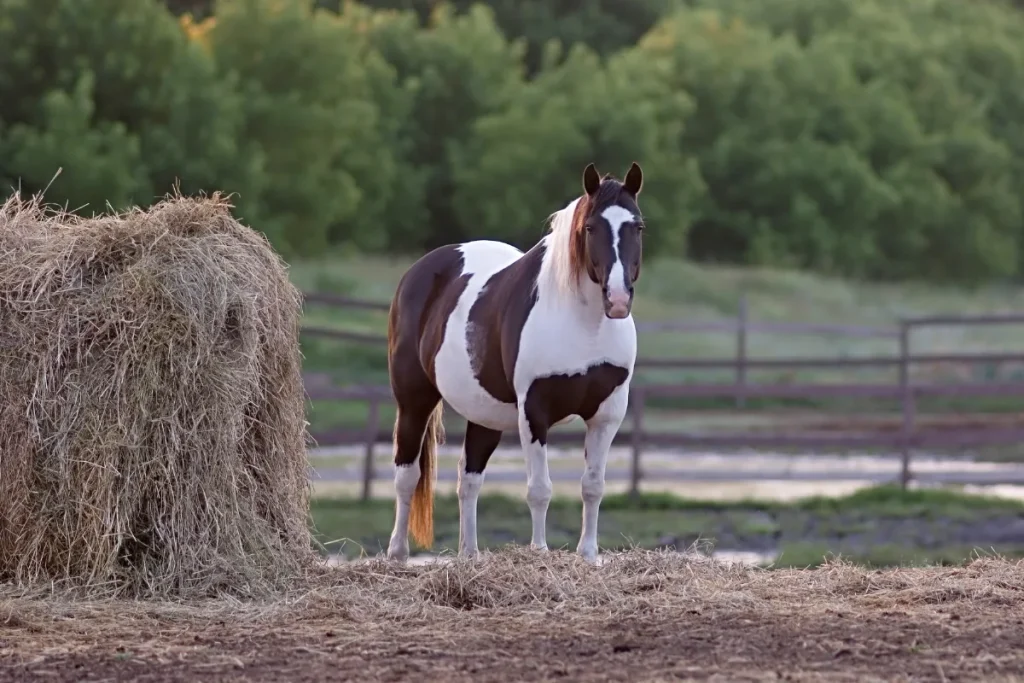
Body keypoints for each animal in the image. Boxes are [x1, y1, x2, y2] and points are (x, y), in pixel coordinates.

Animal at [385, 162, 644, 564]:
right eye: (590, 228)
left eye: (638, 226)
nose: (617, 299)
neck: (583, 323)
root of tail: (421, 270)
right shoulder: (534, 411)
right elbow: (539, 490)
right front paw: (539, 552)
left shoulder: (607, 414)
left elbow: (593, 486)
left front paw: (588, 555)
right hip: (414, 400)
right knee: (407, 474)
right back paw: (397, 554)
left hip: (484, 413)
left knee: (468, 478)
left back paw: (470, 555)